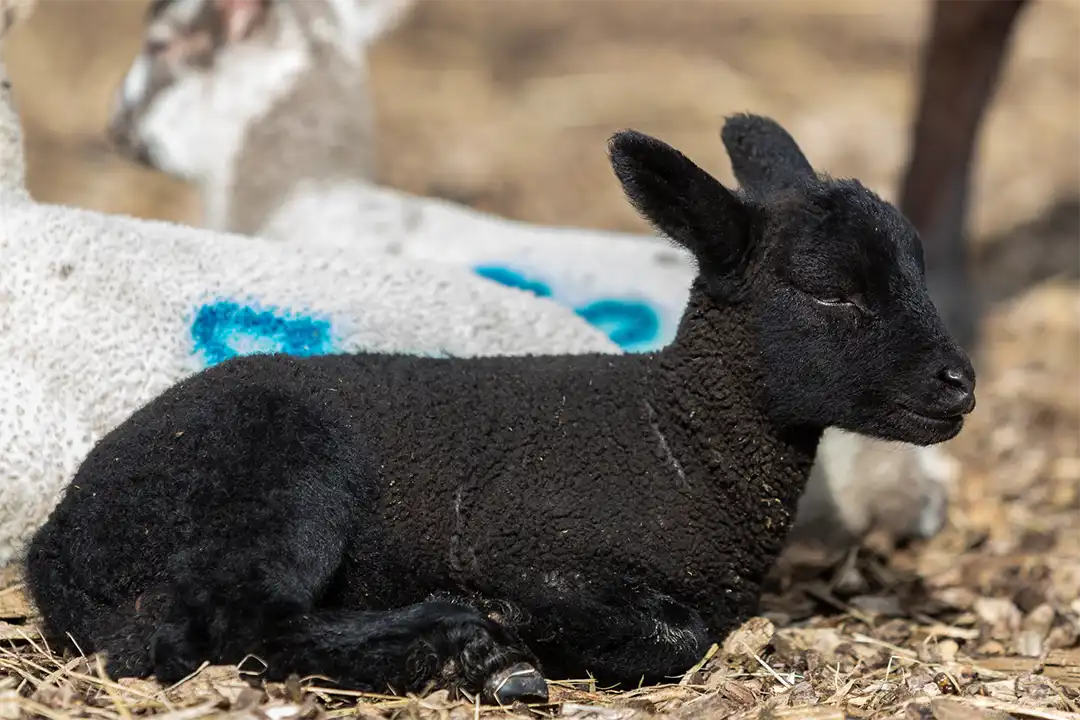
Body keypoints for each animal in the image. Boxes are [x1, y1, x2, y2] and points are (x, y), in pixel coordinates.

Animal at [26, 113, 977, 706]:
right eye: (830, 291)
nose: (959, 384)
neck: (675, 442)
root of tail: (60, 537)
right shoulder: (536, 548)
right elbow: (675, 635)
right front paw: (517, 624)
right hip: (281, 474)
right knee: (226, 618)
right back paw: (473, 650)